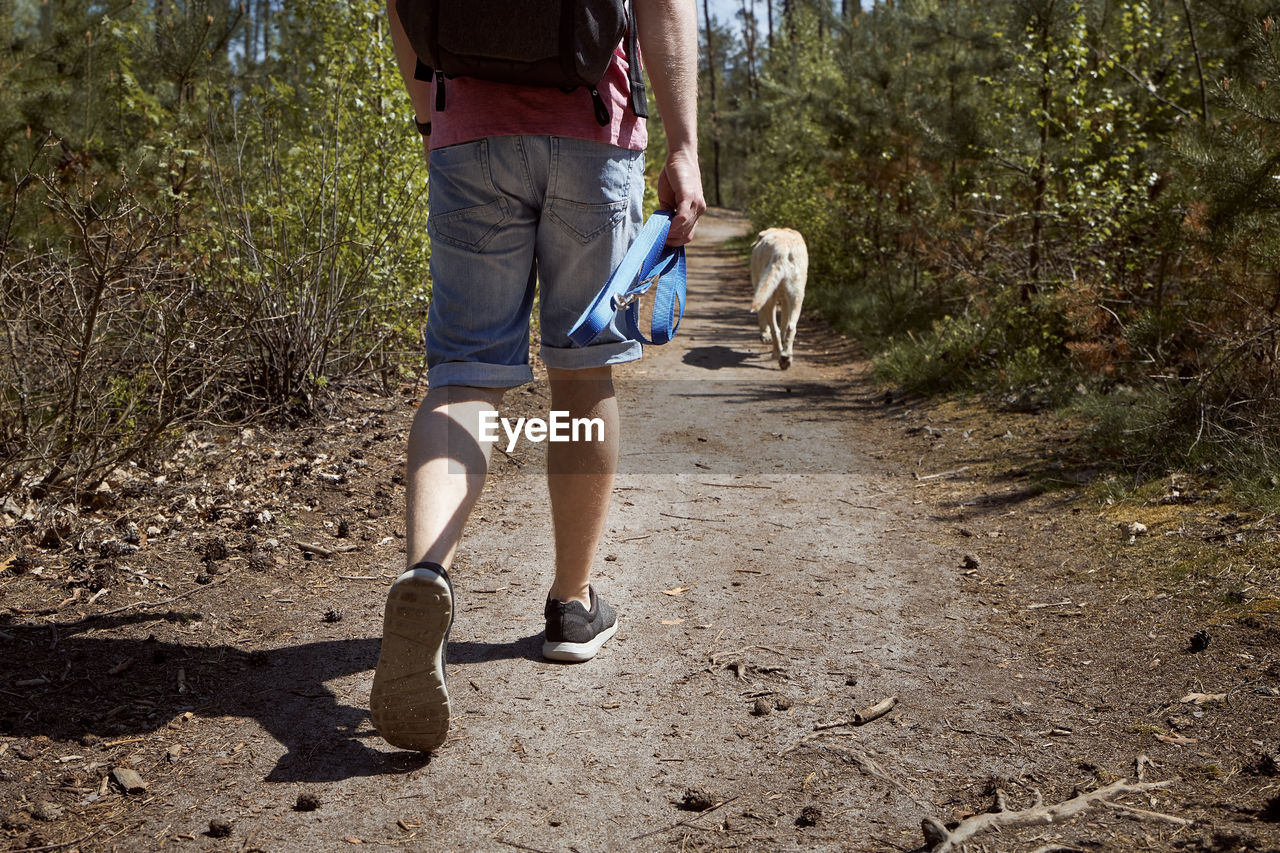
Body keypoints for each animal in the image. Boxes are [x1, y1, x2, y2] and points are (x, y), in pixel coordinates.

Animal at [747, 227, 808, 371]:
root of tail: (783, 249)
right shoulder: (786, 301)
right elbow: (785, 325)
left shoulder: (760, 289)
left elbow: (763, 318)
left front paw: (764, 335)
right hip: (797, 297)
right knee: (791, 327)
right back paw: (786, 357)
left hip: (769, 297)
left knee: (775, 328)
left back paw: (777, 354)